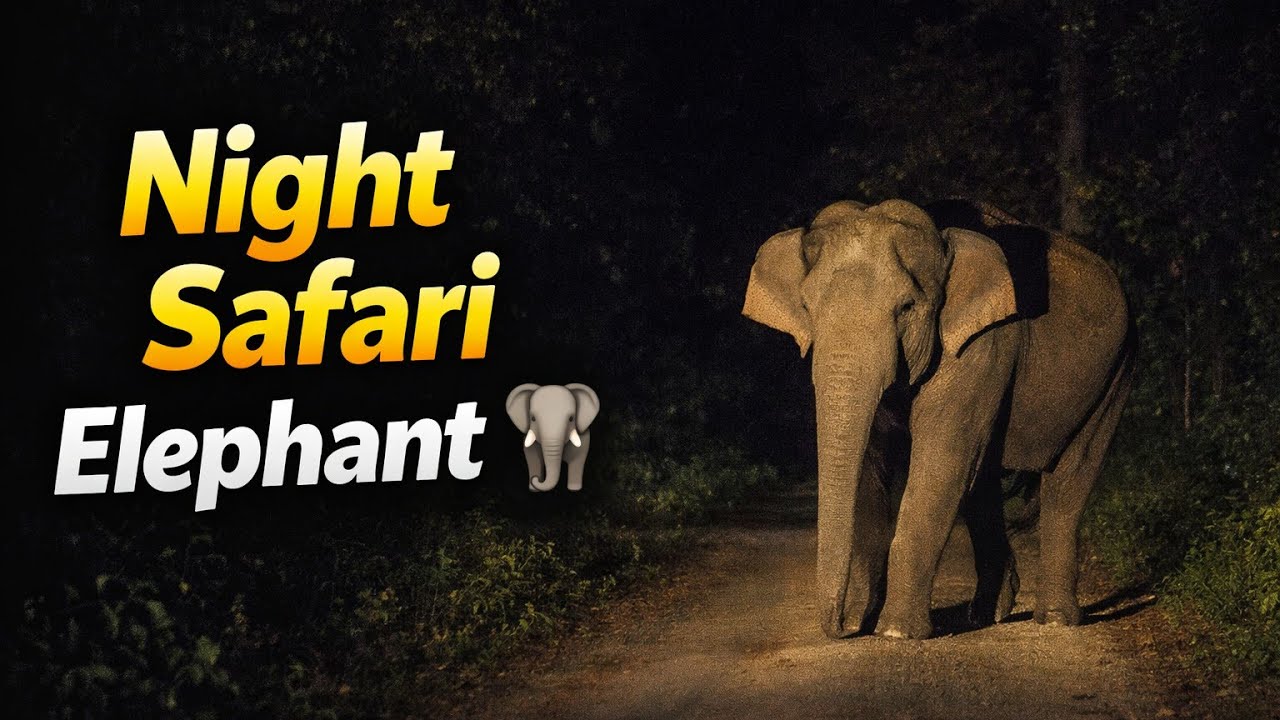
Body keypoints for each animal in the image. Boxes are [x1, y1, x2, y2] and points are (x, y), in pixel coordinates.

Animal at [743, 197, 1134, 640]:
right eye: (807, 307)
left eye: (907, 308)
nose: (842, 627)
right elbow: (872, 469)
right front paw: (868, 620)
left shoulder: (981, 346)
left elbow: (940, 465)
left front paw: (894, 633)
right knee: (982, 482)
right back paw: (986, 615)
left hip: (1115, 375)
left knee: (1068, 480)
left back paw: (1054, 619)